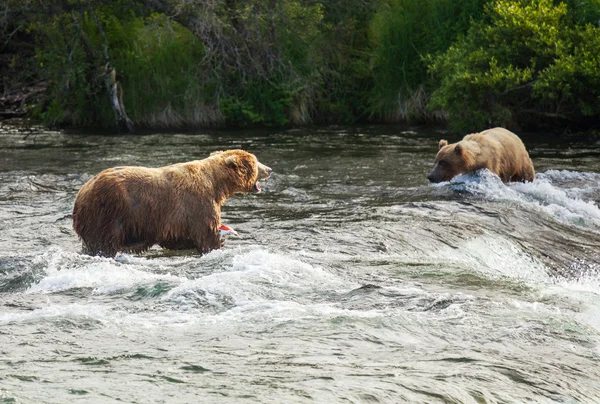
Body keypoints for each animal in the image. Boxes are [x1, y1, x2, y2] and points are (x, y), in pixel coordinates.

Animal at [72, 150, 272, 258]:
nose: (269, 169)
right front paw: (219, 242)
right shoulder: (198, 203)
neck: (216, 184)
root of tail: (81, 193)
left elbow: (178, 238)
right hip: (107, 212)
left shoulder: (176, 217)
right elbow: (207, 233)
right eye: (256, 162)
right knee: (103, 243)